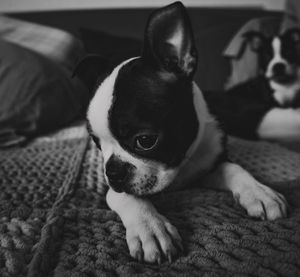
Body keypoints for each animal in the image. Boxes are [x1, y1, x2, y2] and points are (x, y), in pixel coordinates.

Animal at [74, 2, 288, 264]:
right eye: (96, 143)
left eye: (145, 141)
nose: (112, 172)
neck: (180, 165)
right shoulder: (114, 189)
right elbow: (128, 196)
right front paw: (151, 228)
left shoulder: (211, 162)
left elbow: (235, 168)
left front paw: (259, 192)